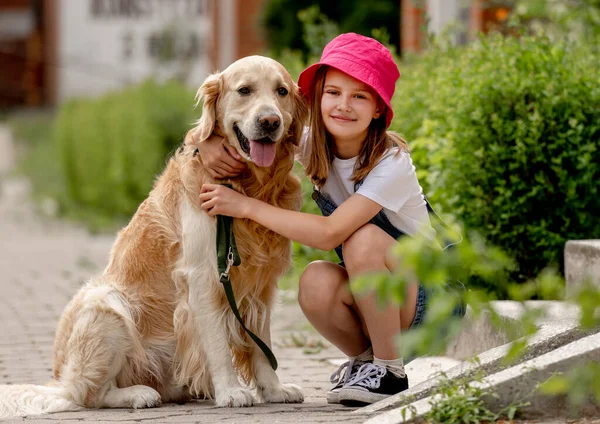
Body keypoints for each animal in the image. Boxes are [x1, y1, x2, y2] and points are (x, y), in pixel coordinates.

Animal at [0, 55, 308, 418]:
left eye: (281, 91)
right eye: (244, 90)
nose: (270, 121)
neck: (246, 185)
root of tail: (59, 382)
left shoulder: (261, 285)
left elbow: (262, 347)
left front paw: (273, 389)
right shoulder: (203, 277)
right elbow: (218, 344)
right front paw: (231, 391)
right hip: (107, 304)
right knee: (86, 394)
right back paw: (137, 394)